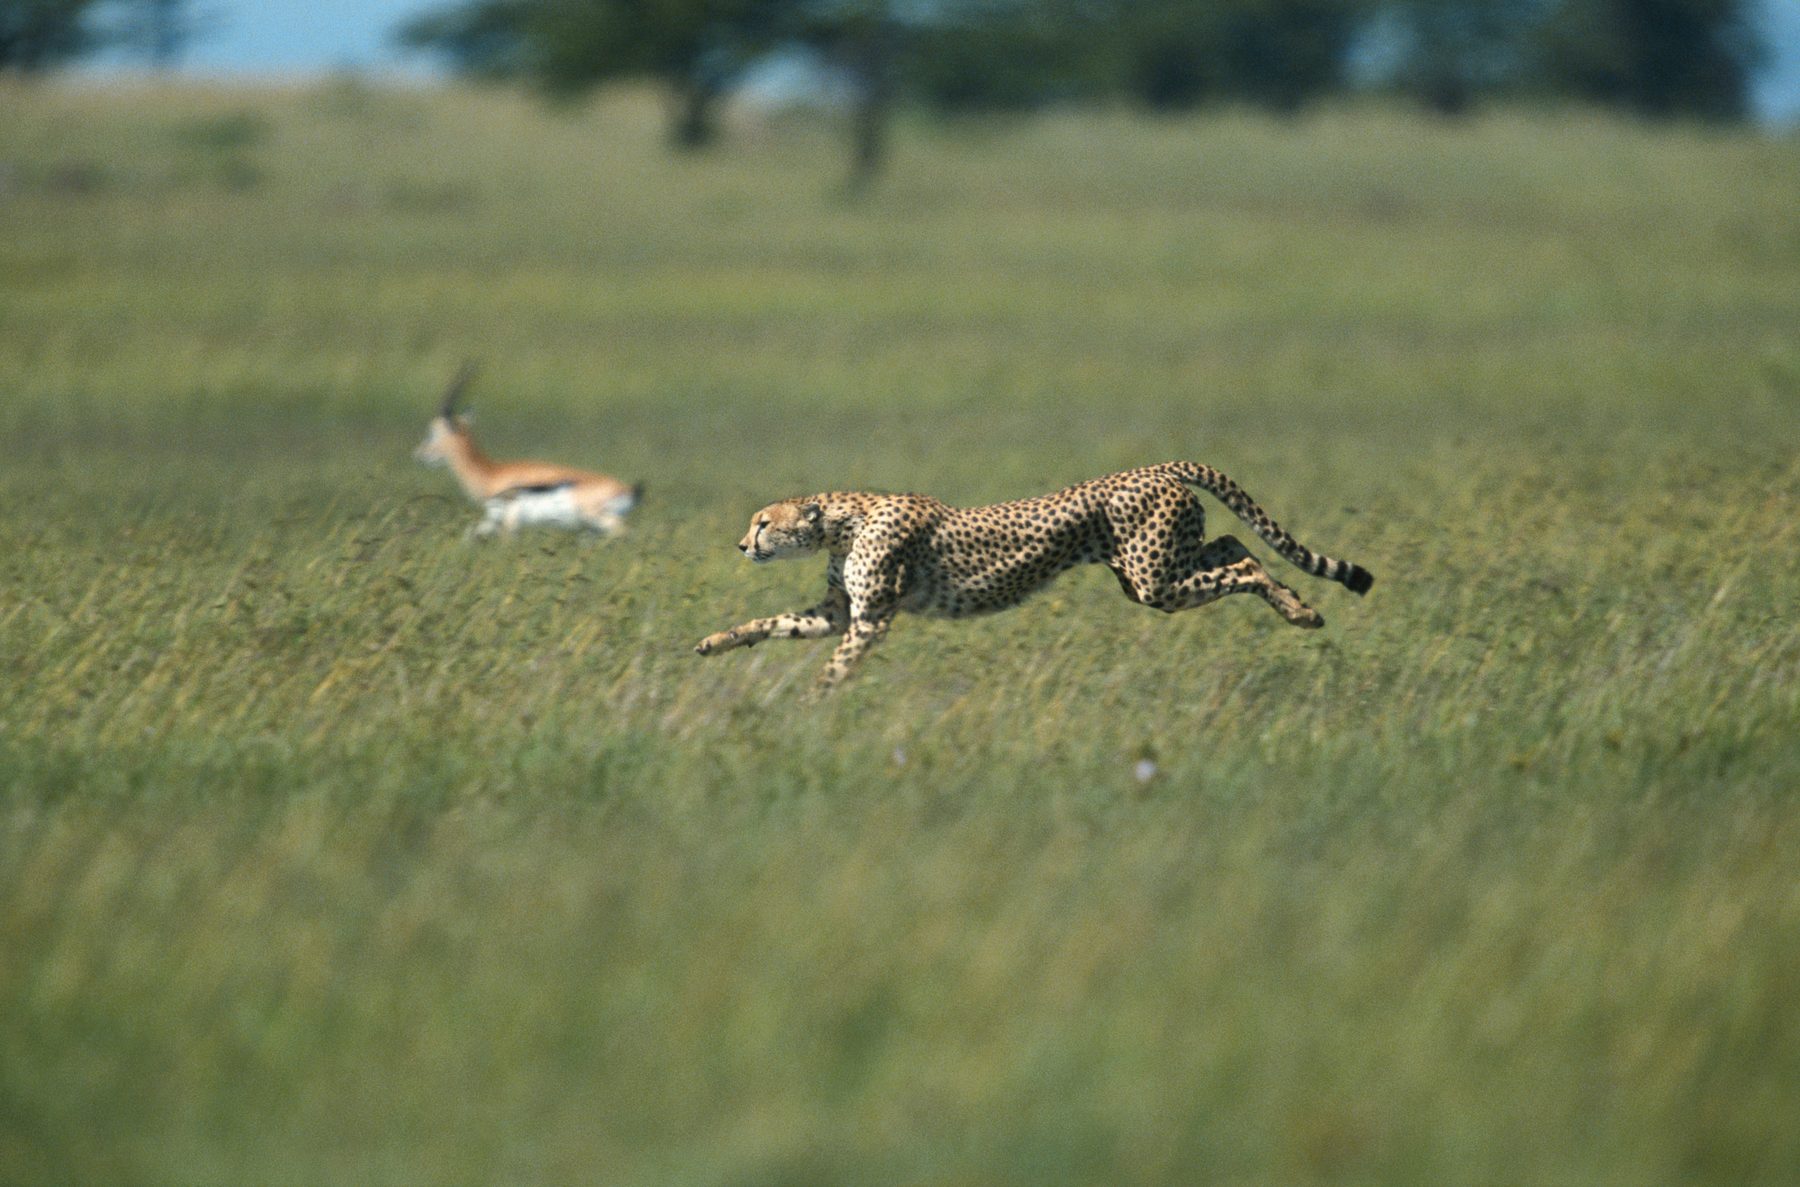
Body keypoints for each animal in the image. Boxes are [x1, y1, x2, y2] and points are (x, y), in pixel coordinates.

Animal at [414, 365, 642, 538]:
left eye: (432, 433)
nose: (419, 455)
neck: (490, 474)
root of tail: (627, 489)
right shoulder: (491, 519)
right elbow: (468, 536)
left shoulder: (509, 519)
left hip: (596, 517)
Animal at [694, 460, 1374, 690]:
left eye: (763, 522)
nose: (741, 543)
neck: (842, 520)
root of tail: (1159, 466)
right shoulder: (841, 610)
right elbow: (772, 622)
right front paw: (716, 641)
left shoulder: (871, 618)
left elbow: (836, 666)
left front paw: (814, 706)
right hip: (1156, 571)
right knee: (1235, 545)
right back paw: (1297, 603)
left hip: (1153, 581)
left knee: (1248, 561)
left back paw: (1302, 611)